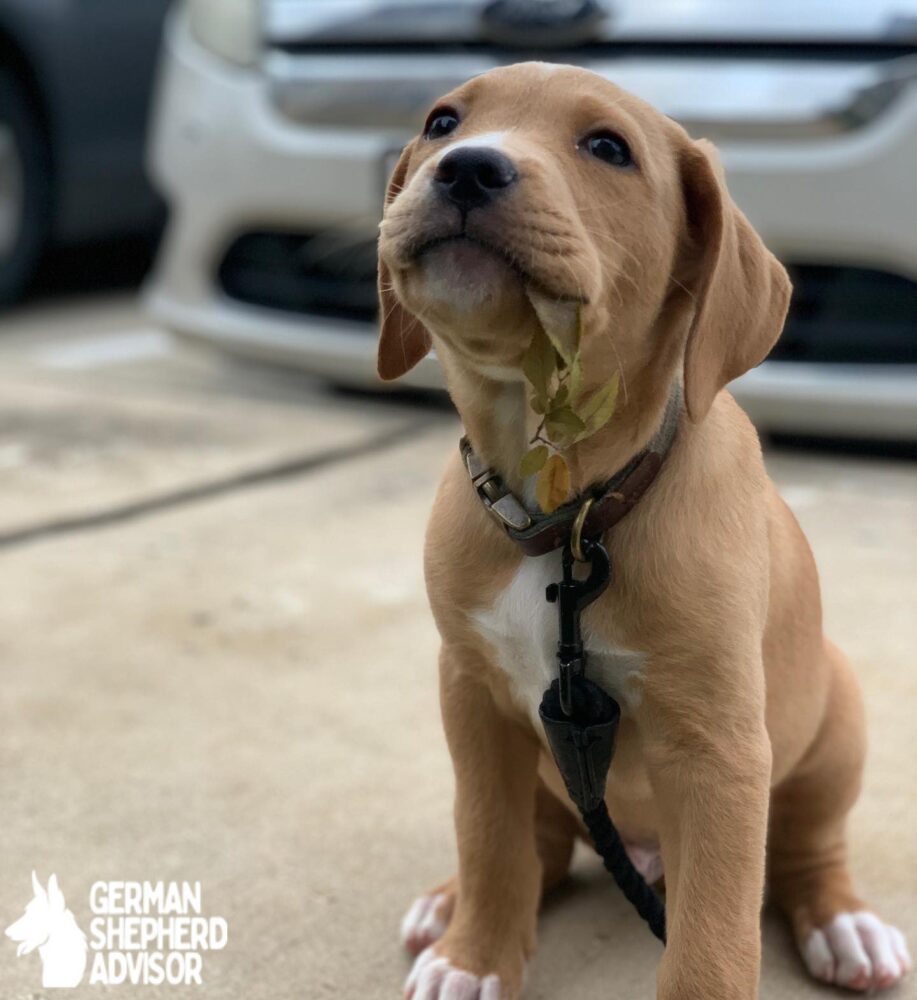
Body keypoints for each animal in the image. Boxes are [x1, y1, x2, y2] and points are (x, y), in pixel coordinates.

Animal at [376, 64, 912, 1000]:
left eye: (606, 147)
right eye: (442, 121)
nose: (468, 167)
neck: (566, 513)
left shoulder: (716, 749)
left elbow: (711, 938)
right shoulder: (469, 696)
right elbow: (488, 837)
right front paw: (474, 958)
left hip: (832, 721)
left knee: (807, 849)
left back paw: (844, 923)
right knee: (538, 847)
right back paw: (450, 905)